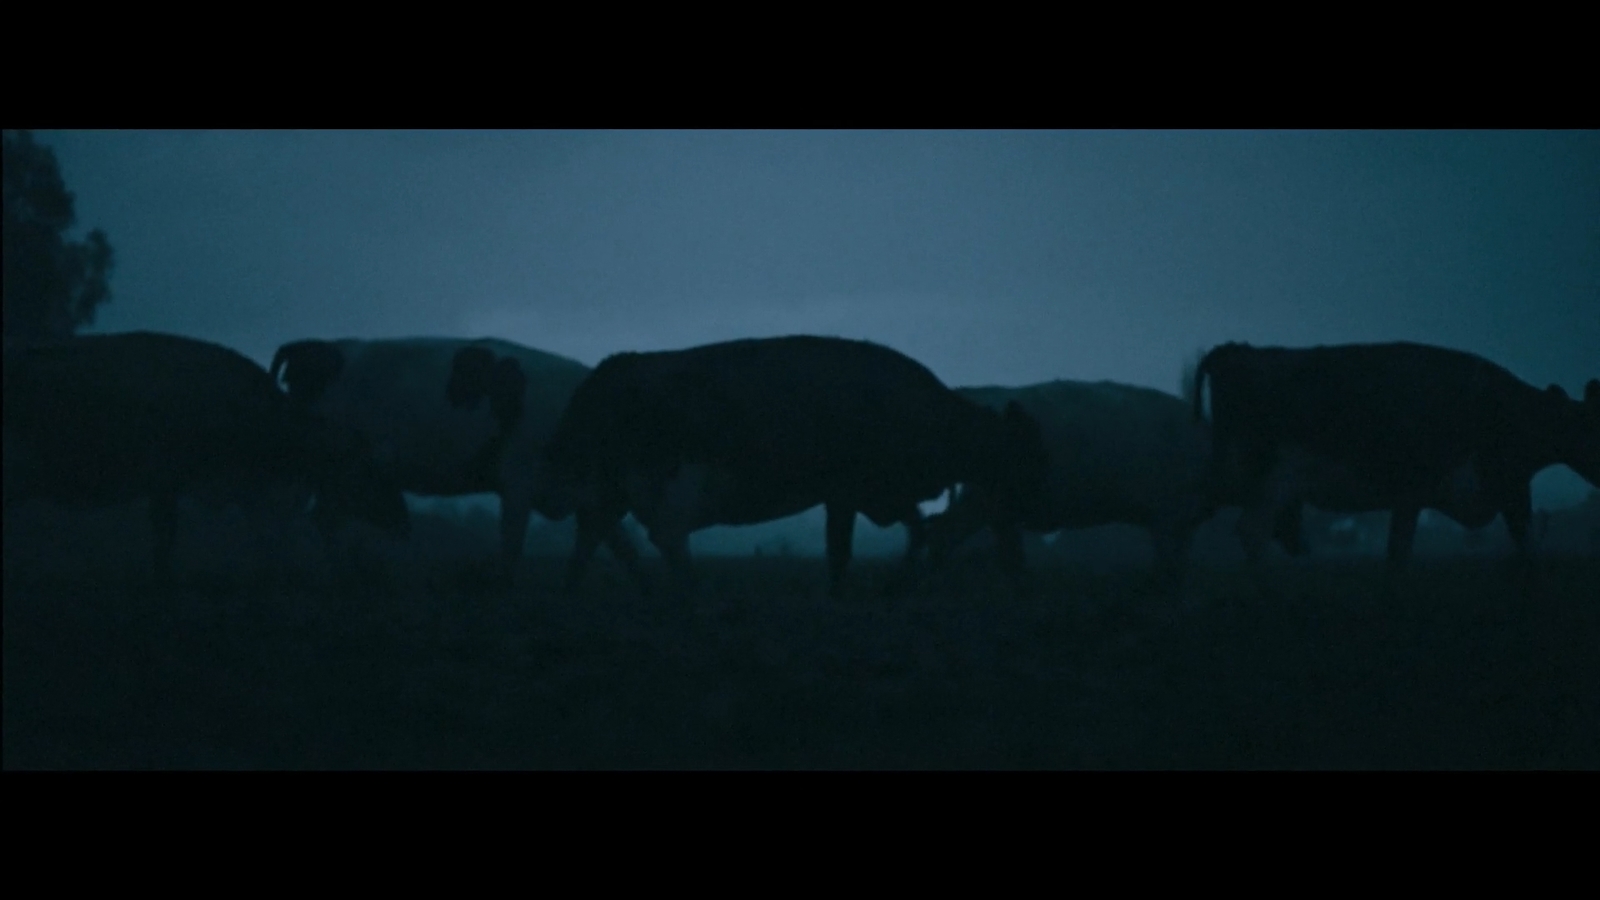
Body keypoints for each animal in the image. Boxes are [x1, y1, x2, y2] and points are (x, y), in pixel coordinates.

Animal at [272, 334, 646, 582]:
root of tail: (315, 345)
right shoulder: (519, 478)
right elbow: (512, 545)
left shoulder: (588, 496)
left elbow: (622, 551)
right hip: (314, 462)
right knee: (293, 512)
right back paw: (297, 571)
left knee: (319, 517)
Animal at [544, 333, 1056, 598]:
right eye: (1026, 455)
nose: (1039, 507)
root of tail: (613, 369)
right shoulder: (848, 492)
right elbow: (841, 549)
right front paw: (843, 594)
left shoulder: (880, 496)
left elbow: (915, 533)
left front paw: (897, 582)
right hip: (671, 481)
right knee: (663, 536)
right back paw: (692, 596)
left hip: (611, 489)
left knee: (595, 536)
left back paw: (583, 593)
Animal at [1196, 337, 1593, 582]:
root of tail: (1234, 350)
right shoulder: (1507, 485)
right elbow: (1526, 541)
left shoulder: (1415, 497)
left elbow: (1398, 552)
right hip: (1271, 480)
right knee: (1252, 532)